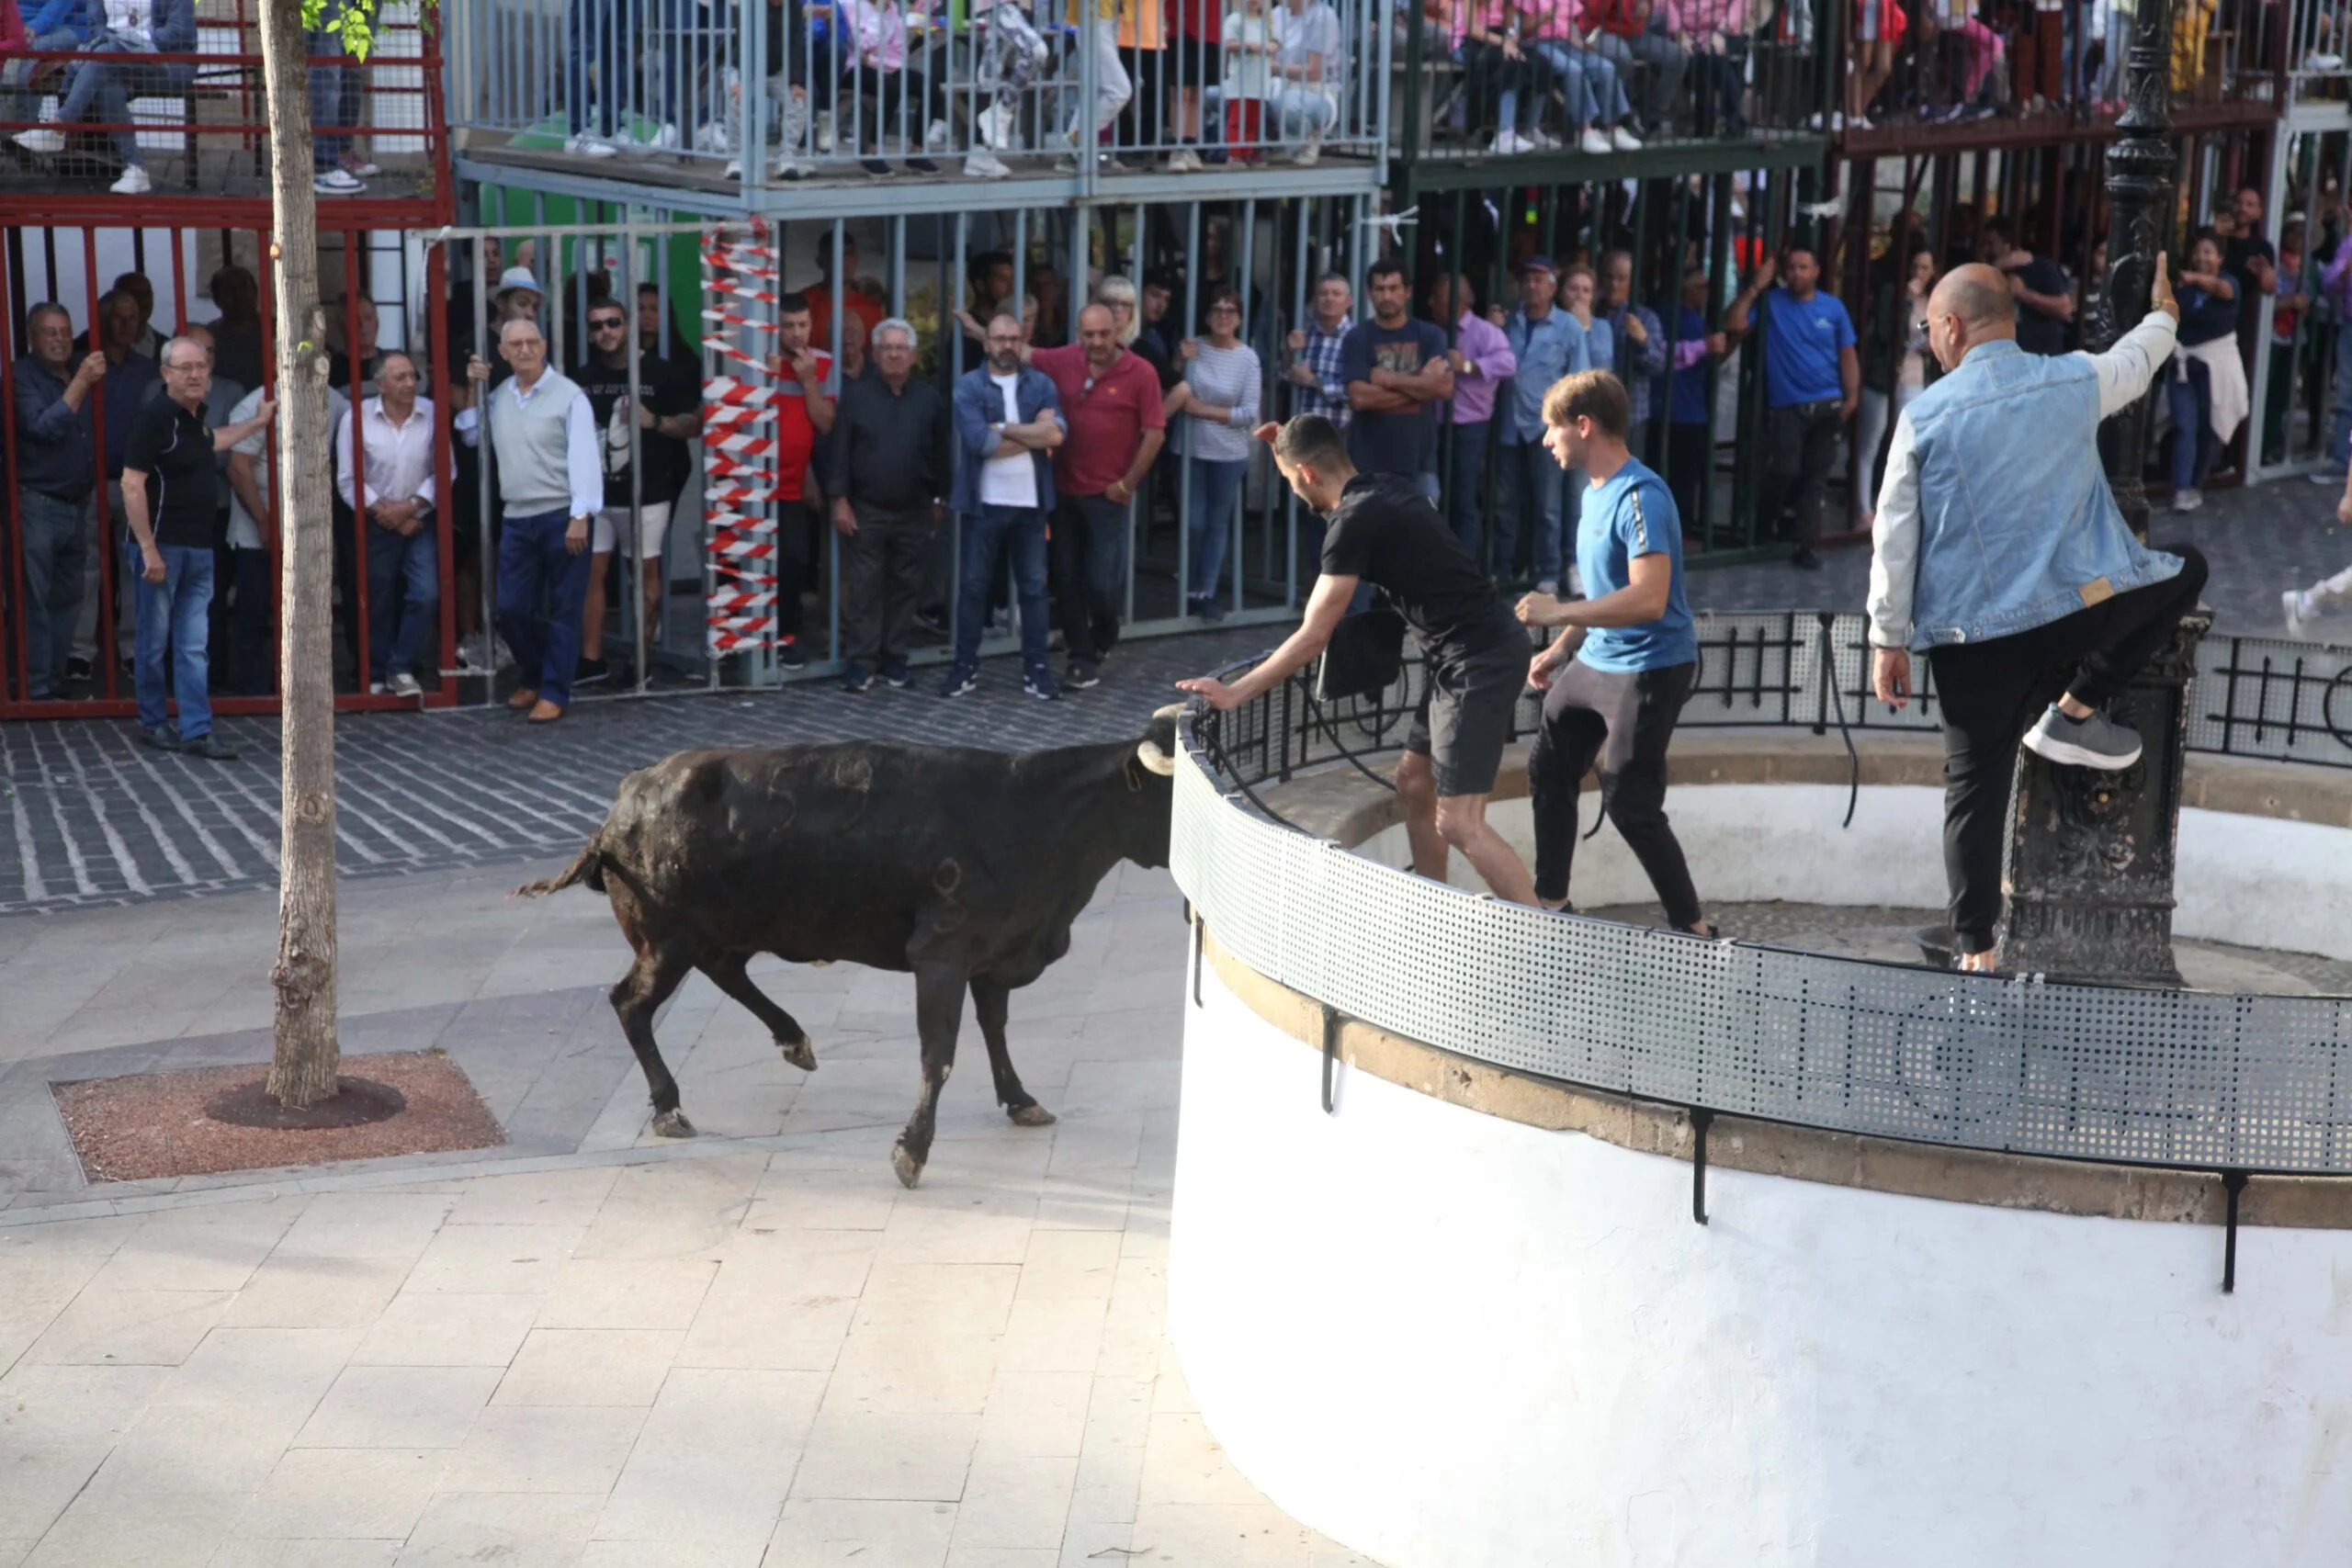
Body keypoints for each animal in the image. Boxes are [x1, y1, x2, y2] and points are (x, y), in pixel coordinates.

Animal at [522, 705, 1185, 1184]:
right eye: (1174, 798)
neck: (1034, 816)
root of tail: (624, 802)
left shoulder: (994, 952)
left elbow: (994, 1026)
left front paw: (1020, 1098)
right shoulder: (941, 953)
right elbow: (940, 1052)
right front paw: (912, 1150)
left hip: (720, 928)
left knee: (725, 973)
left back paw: (793, 1039)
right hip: (666, 939)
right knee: (631, 1002)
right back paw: (668, 1106)